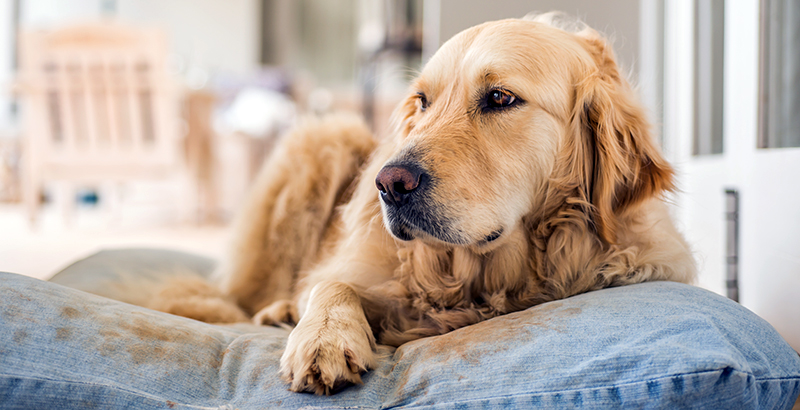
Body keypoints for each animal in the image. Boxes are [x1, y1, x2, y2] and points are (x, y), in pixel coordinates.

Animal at [150, 14, 692, 396]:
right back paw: (279, 309)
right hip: (327, 137)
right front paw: (324, 338)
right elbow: (330, 284)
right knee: (252, 293)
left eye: (500, 97)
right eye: (422, 102)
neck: (482, 277)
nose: (388, 184)